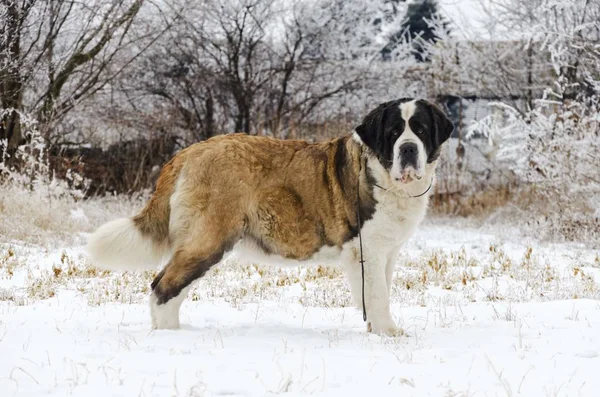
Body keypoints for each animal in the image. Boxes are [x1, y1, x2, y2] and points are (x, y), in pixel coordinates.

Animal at [86, 98, 452, 334]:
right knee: (164, 286)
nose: (408, 149)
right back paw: (171, 337)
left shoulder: (384, 253)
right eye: (394, 133)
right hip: (207, 242)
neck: (382, 174)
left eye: (420, 130)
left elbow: (378, 293)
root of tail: (189, 152)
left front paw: (377, 331)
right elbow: (378, 296)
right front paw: (390, 335)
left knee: (168, 286)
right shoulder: (366, 252)